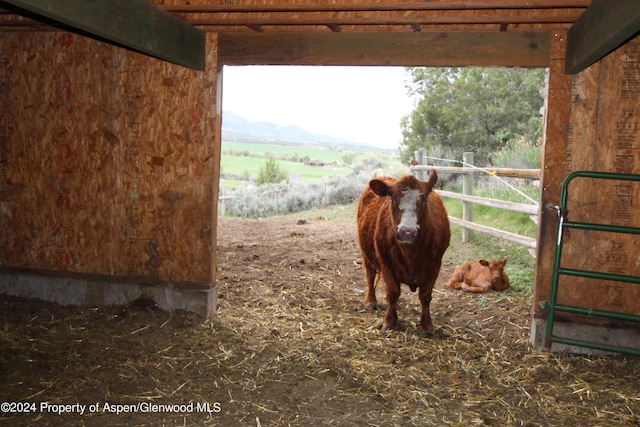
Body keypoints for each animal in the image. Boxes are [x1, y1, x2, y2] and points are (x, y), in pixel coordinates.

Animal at [358, 172, 452, 336]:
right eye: (393, 198)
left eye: (424, 200)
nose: (407, 232)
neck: (412, 254)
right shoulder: (385, 263)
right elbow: (393, 292)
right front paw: (389, 321)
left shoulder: (435, 265)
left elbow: (425, 296)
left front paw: (427, 325)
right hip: (366, 254)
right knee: (370, 275)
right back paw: (371, 301)